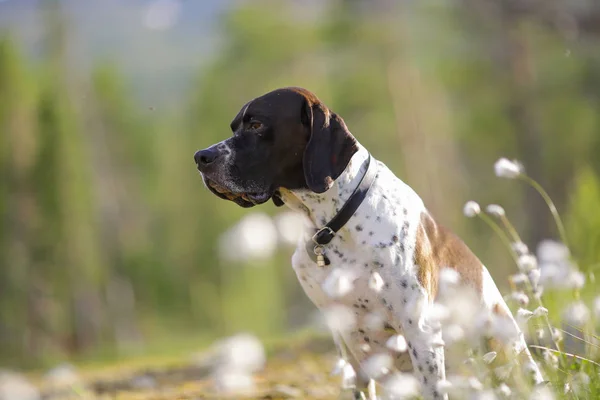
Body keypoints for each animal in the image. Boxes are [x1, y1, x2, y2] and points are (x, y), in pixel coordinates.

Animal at [196, 86, 544, 398]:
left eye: (256, 125)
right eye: (234, 127)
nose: (201, 156)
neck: (332, 227)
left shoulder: (420, 332)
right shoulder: (344, 337)